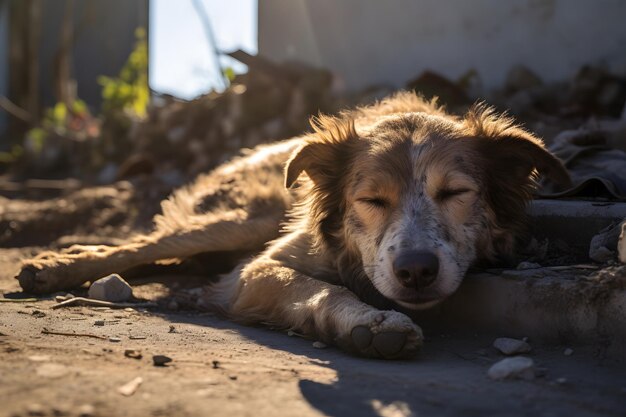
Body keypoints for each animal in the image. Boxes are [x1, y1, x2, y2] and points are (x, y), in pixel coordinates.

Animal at [17, 93, 568, 358]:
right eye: (371, 199)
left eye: (454, 193)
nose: (415, 271)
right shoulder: (256, 270)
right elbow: (321, 288)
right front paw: (372, 323)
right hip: (244, 219)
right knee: (139, 246)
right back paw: (55, 267)